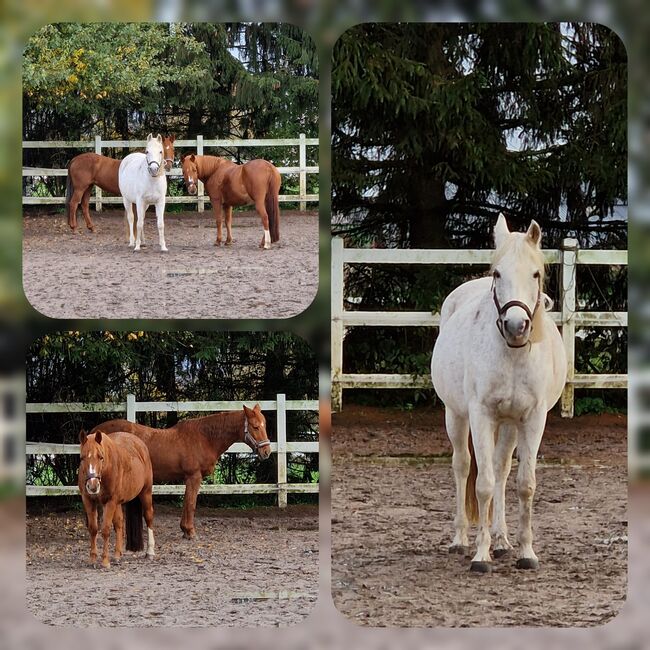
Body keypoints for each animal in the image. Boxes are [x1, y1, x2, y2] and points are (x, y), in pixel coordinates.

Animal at [77, 428, 154, 564]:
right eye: (82, 458)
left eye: (101, 457)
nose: (92, 486)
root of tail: (140, 444)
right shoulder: (88, 500)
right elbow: (93, 528)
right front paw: (93, 558)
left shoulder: (110, 501)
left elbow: (105, 530)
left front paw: (105, 561)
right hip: (118, 502)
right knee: (119, 523)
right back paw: (117, 554)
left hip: (146, 492)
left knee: (149, 516)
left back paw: (150, 552)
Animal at [92, 404, 270, 536]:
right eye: (255, 426)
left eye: (264, 425)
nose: (266, 452)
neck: (204, 438)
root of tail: (95, 432)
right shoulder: (194, 476)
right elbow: (191, 503)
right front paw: (190, 531)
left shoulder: (187, 478)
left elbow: (186, 502)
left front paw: (184, 529)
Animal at [432, 215, 564, 568]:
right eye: (498, 273)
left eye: (535, 274)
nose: (516, 326)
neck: (513, 354)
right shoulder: (481, 415)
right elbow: (483, 485)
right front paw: (481, 556)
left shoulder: (532, 419)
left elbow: (524, 484)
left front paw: (526, 553)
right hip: (456, 416)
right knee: (463, 465)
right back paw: (461, 539)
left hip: (508, 425)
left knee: (502, 469)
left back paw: (502, 540)